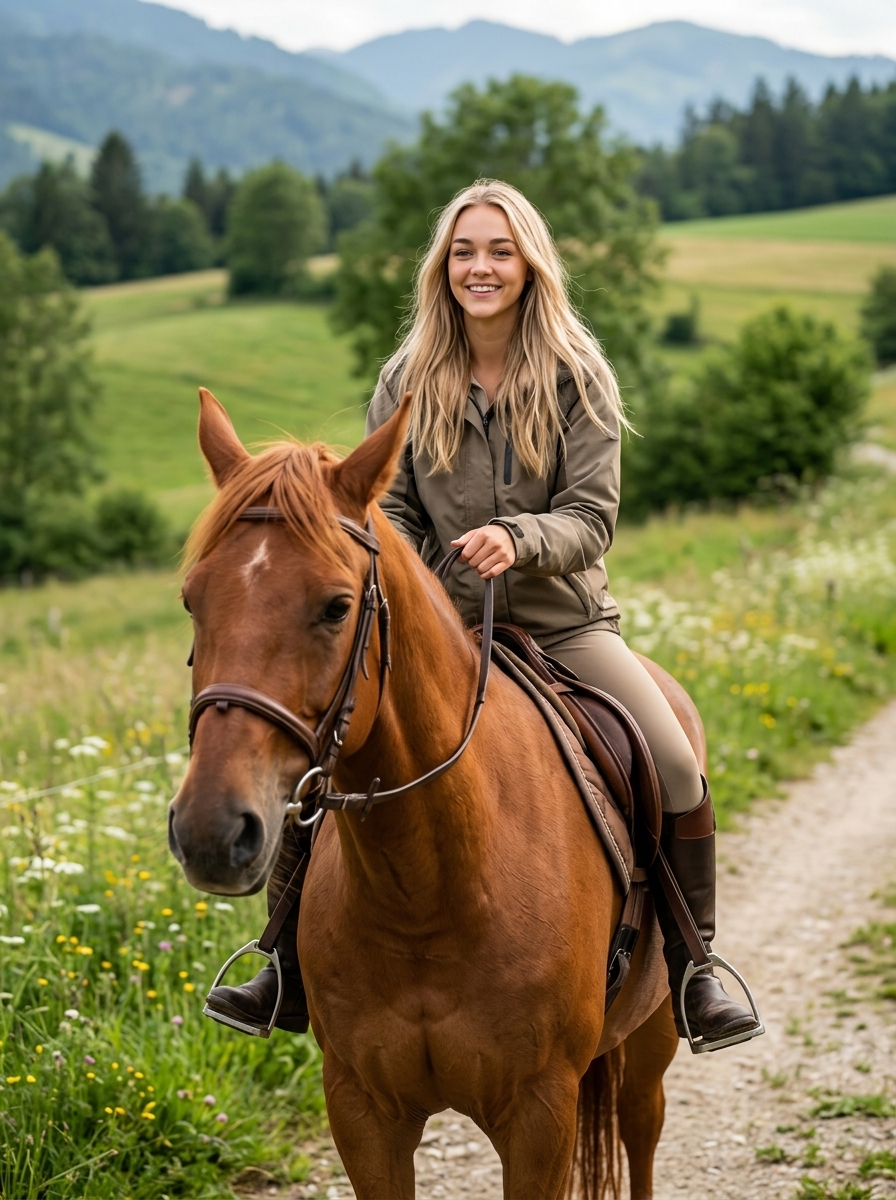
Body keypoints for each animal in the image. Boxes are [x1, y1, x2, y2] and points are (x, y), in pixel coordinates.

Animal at [169, 387, 707, 1199]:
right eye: (192, 600)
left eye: (335, 606)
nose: (209, 831)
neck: (426, 891)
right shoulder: (363, 1112)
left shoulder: (539, 1115)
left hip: (649, 1039)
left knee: (641, 1129)